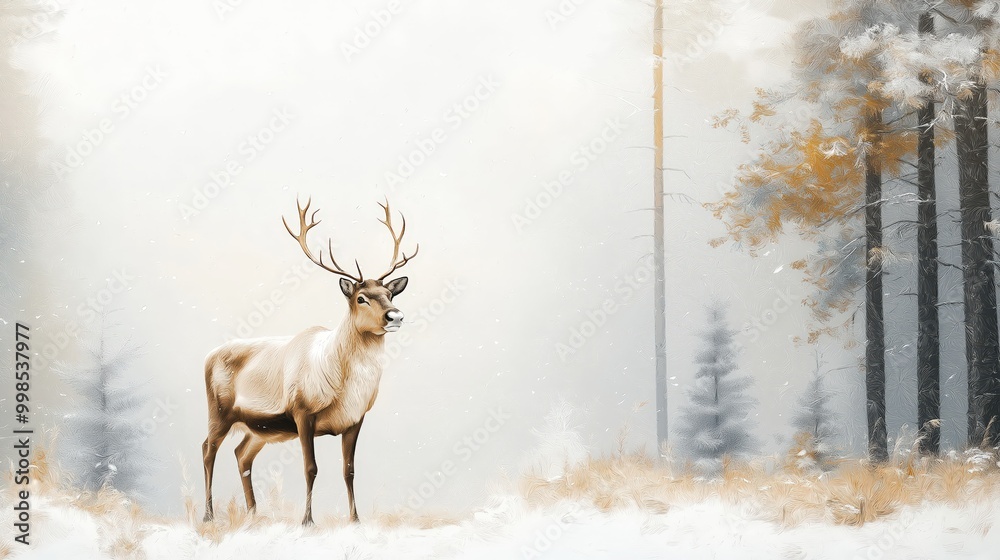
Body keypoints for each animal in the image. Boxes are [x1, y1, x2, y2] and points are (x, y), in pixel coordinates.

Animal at [201, 197, 418, 526]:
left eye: (389, 294)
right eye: (361, 298)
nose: (395, 316)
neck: (344, 386)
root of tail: (207, 356)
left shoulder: (355, 419)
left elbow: (349, 470)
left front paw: (355, 519)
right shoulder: (302, 411)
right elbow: (311, 468)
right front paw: (307, 521)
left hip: (258, 428)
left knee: (241, 454)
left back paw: (253, 513)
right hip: (220, 411)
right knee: (207, 450)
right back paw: (209, 515)